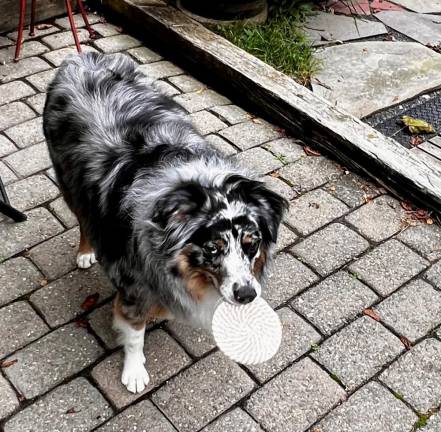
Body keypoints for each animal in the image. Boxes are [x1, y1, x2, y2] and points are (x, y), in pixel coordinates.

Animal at [43, 52, 288, 394]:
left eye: (252, 245)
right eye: (212, 248)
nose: (246, 295)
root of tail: (82, 56)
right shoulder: (134, 287)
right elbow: (134, 334)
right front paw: (134, 372)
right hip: (68, 181)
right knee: (82, 218)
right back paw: (85, 251)